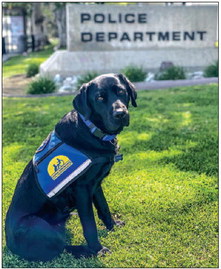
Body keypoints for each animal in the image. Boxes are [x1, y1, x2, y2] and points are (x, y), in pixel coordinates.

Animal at [4, 73, 136, 260]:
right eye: (99, 98)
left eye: (121, 91)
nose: (120, 114)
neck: (91, 130)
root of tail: (9, 243)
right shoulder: (82, 189)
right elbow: (89, 224)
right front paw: (98, 249)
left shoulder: (96, 184)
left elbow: (103, 207)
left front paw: (113, 225)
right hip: (35, 224)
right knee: (59, 248)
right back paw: (85, 251)